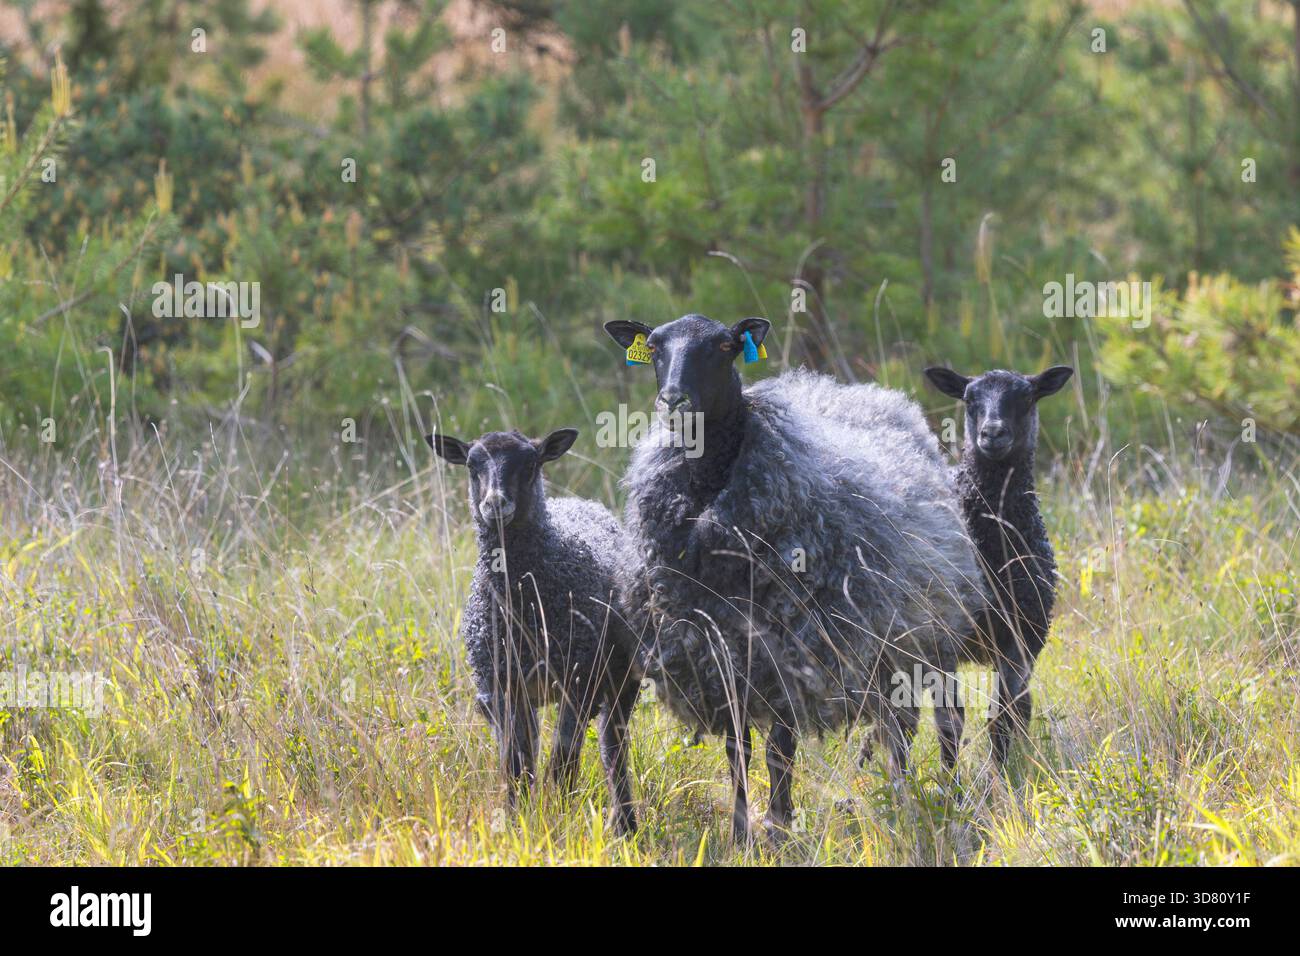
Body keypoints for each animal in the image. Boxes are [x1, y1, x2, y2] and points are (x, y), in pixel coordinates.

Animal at [428, 427, 639, 834]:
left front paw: (561, 817)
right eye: (472, 465)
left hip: (621, 676)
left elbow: (563, 762)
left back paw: (625, 824)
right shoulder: (501, 687)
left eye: (531, 464)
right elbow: (516, 765)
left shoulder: (578, 681)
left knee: (612, 747)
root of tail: (582, 503)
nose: (495, 504)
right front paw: (516, 823)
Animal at [603, 314, 982, 843]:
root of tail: (870, 395)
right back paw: (902, 789)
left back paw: (946, 794)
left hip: (934, 626)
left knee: (948, 718)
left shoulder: (787, 649)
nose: (673, 400)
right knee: (900, 723)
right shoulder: (720, 656)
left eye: (725, 346)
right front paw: (741, 832)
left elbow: (779, 750)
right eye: (654, 346)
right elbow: (738, 751)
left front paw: (779, 826)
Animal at [921, 364, 1074, 765]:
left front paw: (1003, 775)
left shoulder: (1021, 639)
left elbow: (1001, 718)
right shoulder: (943, 642)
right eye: (969, 399)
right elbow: (950, 721)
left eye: (1027, 397)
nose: (992, 433)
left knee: (1022, 707)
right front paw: (950, 782)